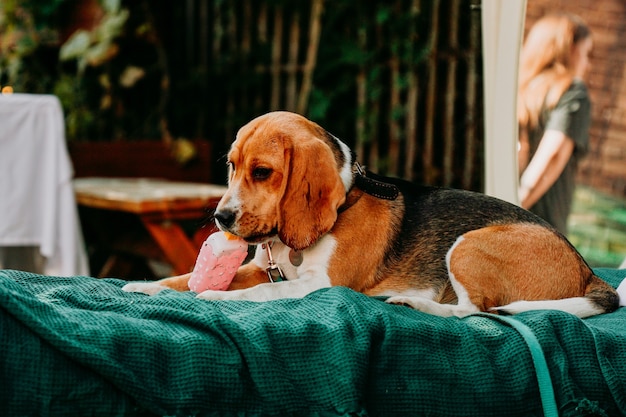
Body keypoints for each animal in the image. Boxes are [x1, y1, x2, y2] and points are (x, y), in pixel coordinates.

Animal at [122, 110, 620, 318]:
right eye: (231, 165)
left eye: (262, 172)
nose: (221, 218)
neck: (344, 202)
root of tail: (585, 268)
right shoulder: (266, 270)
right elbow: (185, 277)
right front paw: (149, 287)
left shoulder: (319, 285)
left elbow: (255, 295)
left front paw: (214, 298)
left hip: (468, 245)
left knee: (474, 312)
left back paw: (415, 303)